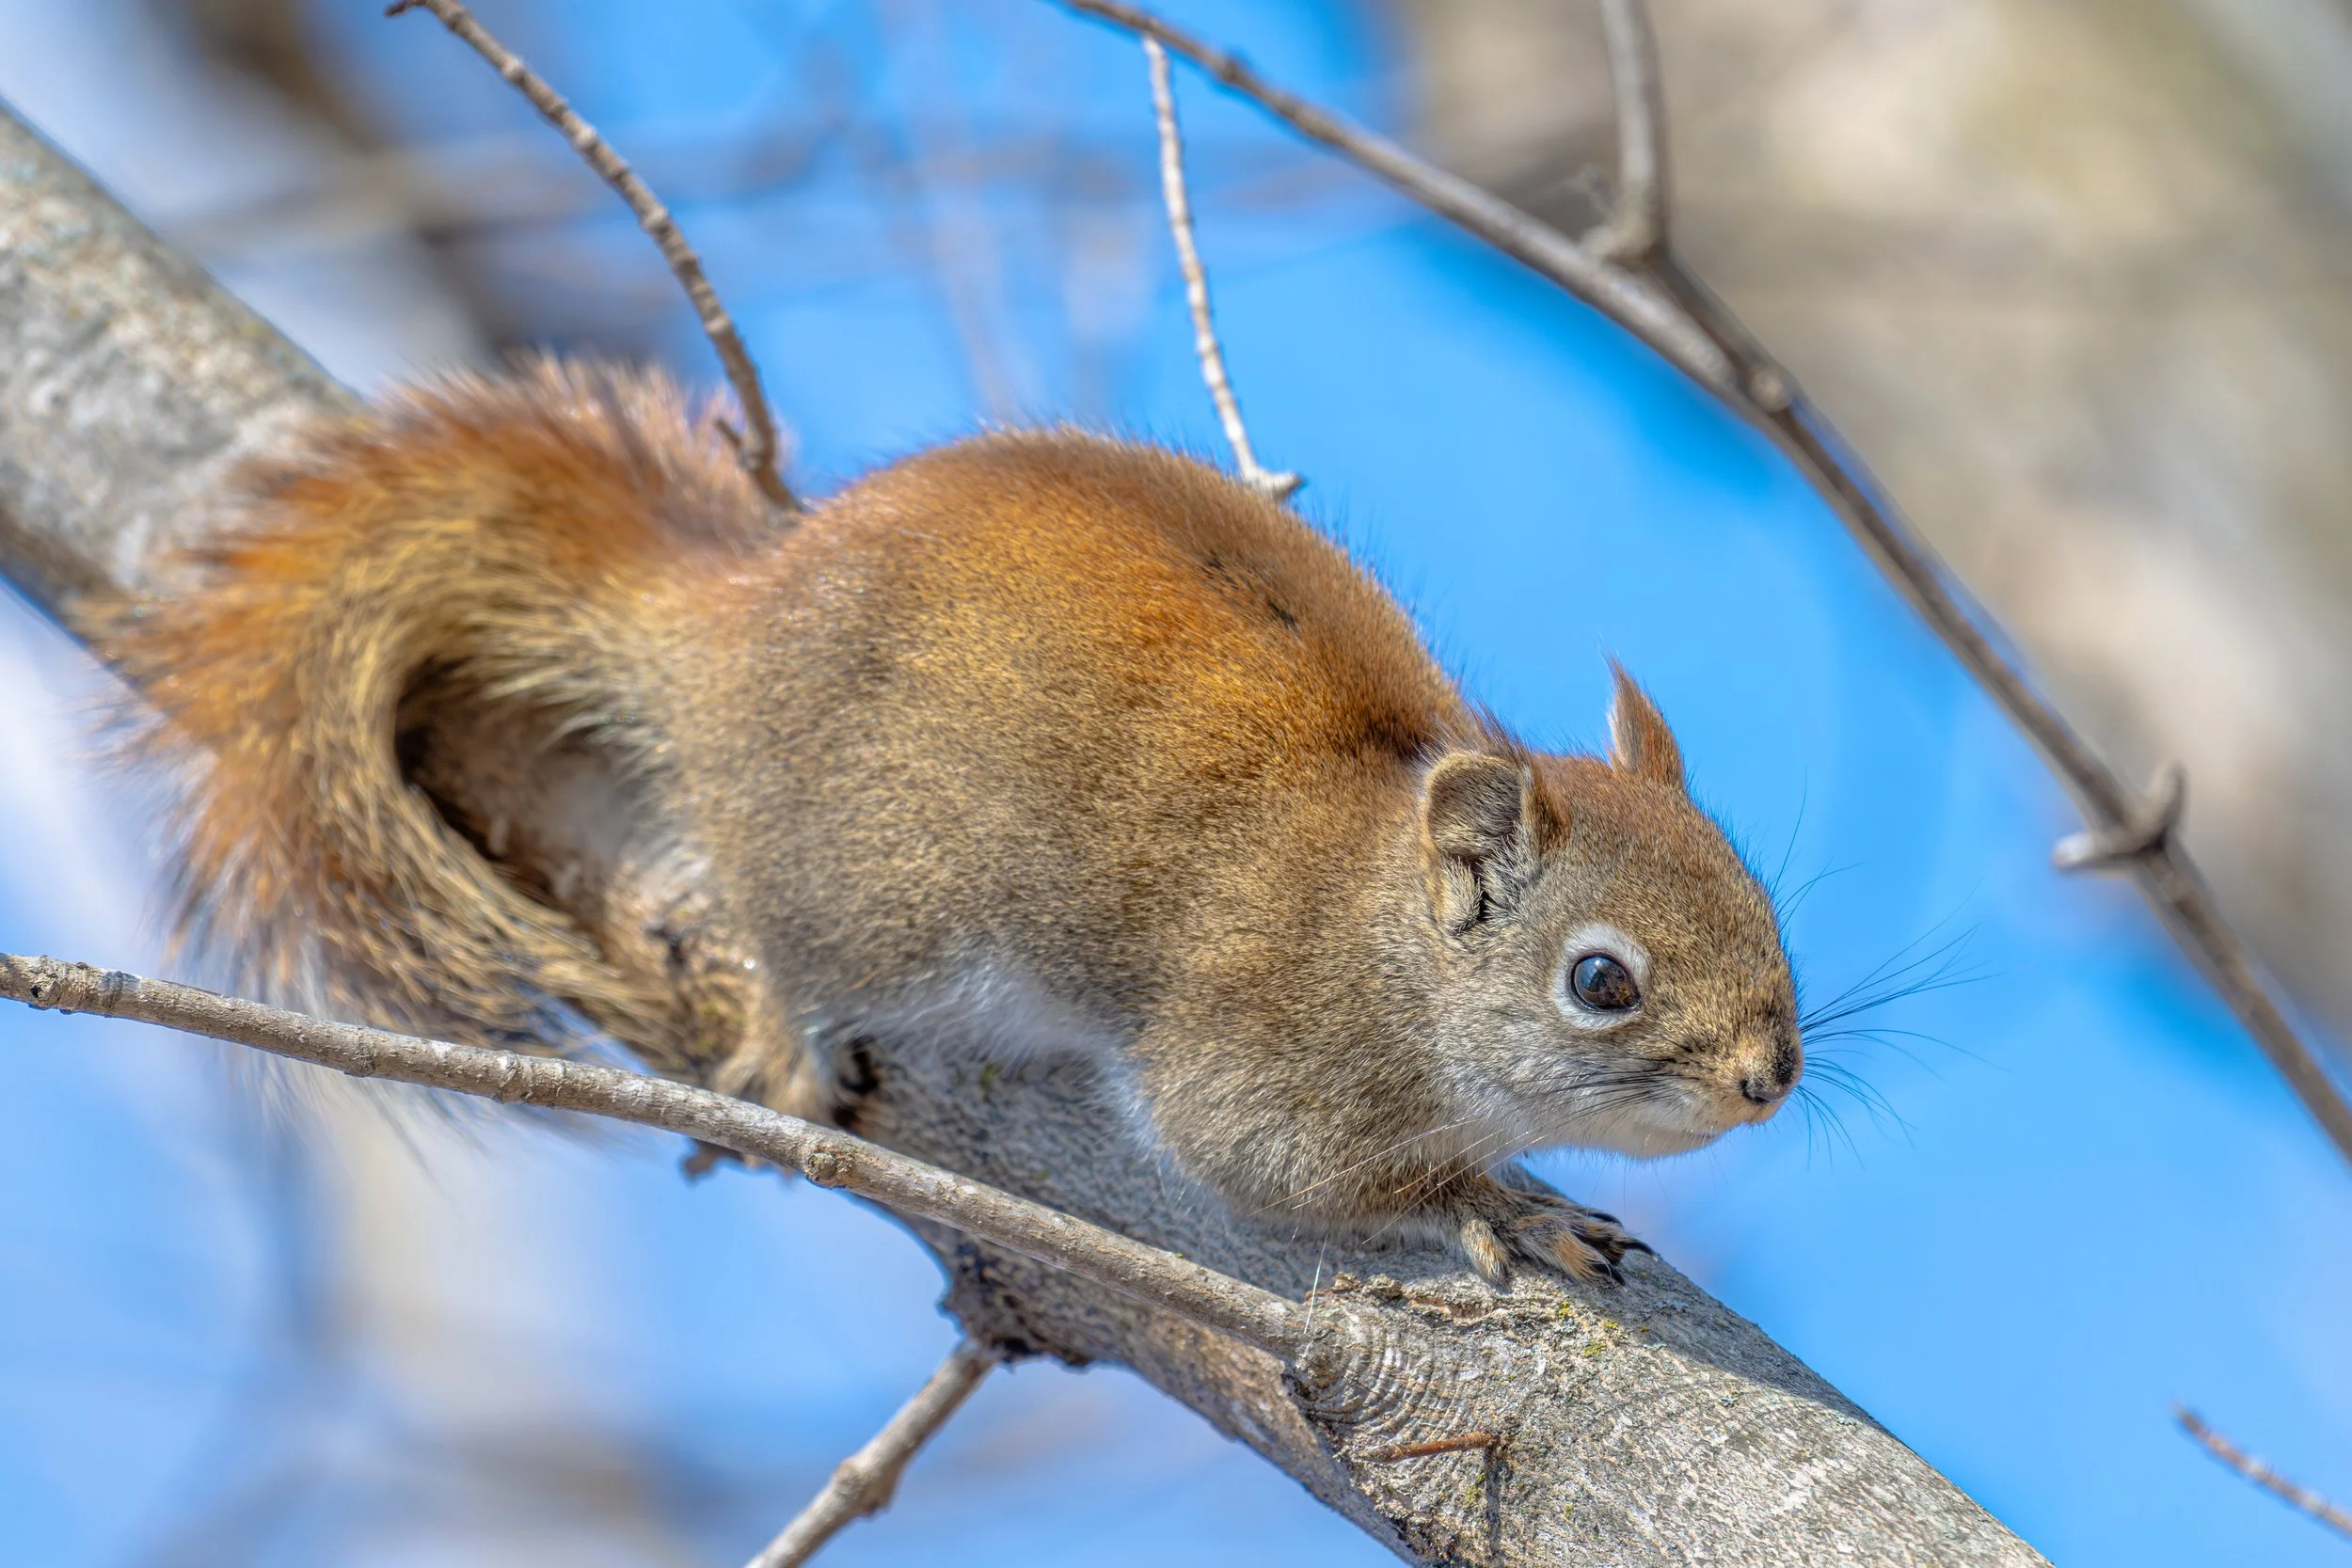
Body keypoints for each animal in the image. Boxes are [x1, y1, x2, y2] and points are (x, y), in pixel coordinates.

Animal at [96, 359, 1801, 1287]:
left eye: (1760, 901)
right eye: (1601, 979)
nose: (1771, 1075)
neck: (1382, 929)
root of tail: (730, 640)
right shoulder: (1263, 1049)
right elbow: (1273, 1165)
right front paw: (1491, 1204)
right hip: (874, 891)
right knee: (790, 938)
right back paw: (787, 1032)